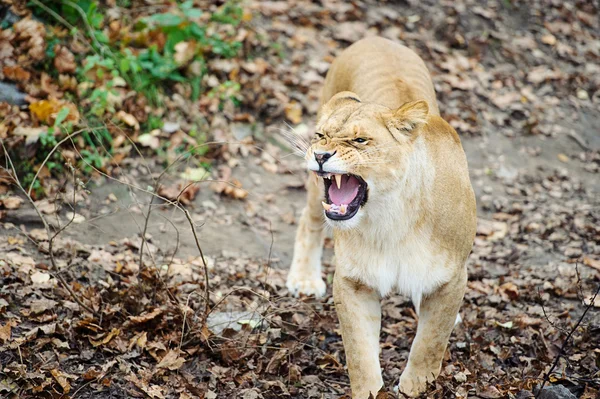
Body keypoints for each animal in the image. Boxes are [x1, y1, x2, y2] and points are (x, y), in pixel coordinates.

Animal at [286, 36, 478, 396]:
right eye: (320, 135)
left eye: (360, 140)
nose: (320, 155)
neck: (391, 217)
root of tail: (375, 38)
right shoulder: (353, 282)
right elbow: (359, 353)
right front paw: (372, 391)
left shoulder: (453, 279)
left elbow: (431, 342)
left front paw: (416, 386)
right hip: (314, 195)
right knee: (308, 221)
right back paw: (303, 279)